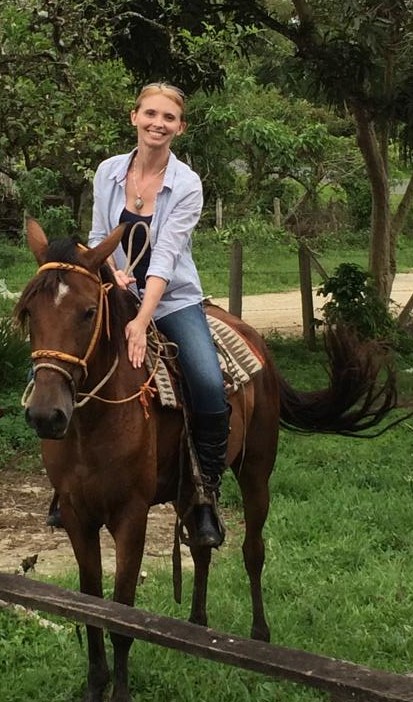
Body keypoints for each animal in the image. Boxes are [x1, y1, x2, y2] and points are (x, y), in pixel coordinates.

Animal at [17, 220, 398, 702]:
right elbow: (90, 609)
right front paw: (95, 686)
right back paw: (196, 628)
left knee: (253, 550)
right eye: (29, 313)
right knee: (200, 546)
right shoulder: (76, 516)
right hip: (190, 489)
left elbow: (122, 616)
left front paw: (119, 691)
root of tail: (252, 337)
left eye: (87, 312)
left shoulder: (131, 517)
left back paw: (259, 637)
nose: (46, 414)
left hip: (256, 472)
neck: (94, 424)